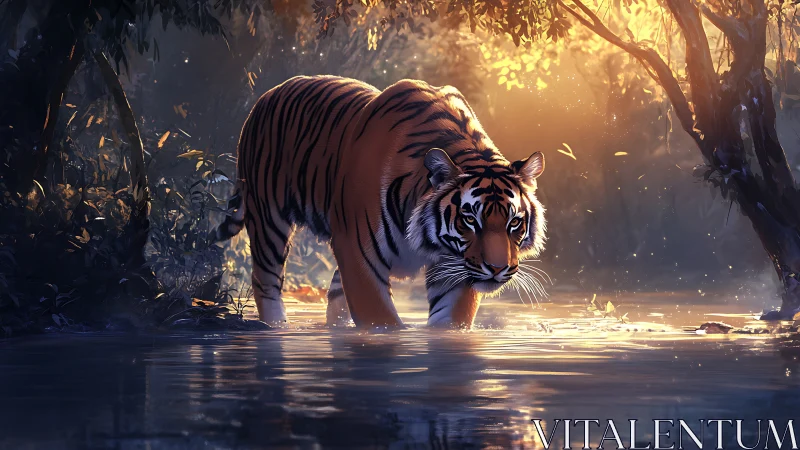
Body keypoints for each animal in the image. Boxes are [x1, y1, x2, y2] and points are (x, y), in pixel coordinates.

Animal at [212, 75, 547, 329]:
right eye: (469, 220)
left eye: (514, 222)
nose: (497, 268)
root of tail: (268, 94)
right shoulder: (359, 251)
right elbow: (380, 320)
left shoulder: (454, 265)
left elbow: (450, 322)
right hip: (269, 220)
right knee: (266, 281)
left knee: (335, 296)